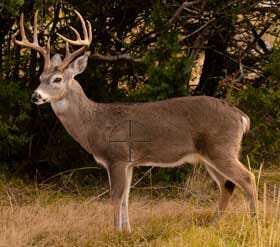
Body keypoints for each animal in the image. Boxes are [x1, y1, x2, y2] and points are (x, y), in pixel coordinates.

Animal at [14, 10, 258, 233]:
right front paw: (128, 231)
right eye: (40, 78)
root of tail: (241, 116)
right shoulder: (130, 163)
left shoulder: (117, 157)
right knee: (227, 185)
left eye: (57, 79)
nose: (35, 96)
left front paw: (115, 233)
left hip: (221, 148)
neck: (93, 123)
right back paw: (213, 223)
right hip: (209, 154)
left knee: (248, 178)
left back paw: (254, 223)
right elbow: (126, 198)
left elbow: (116, 197)